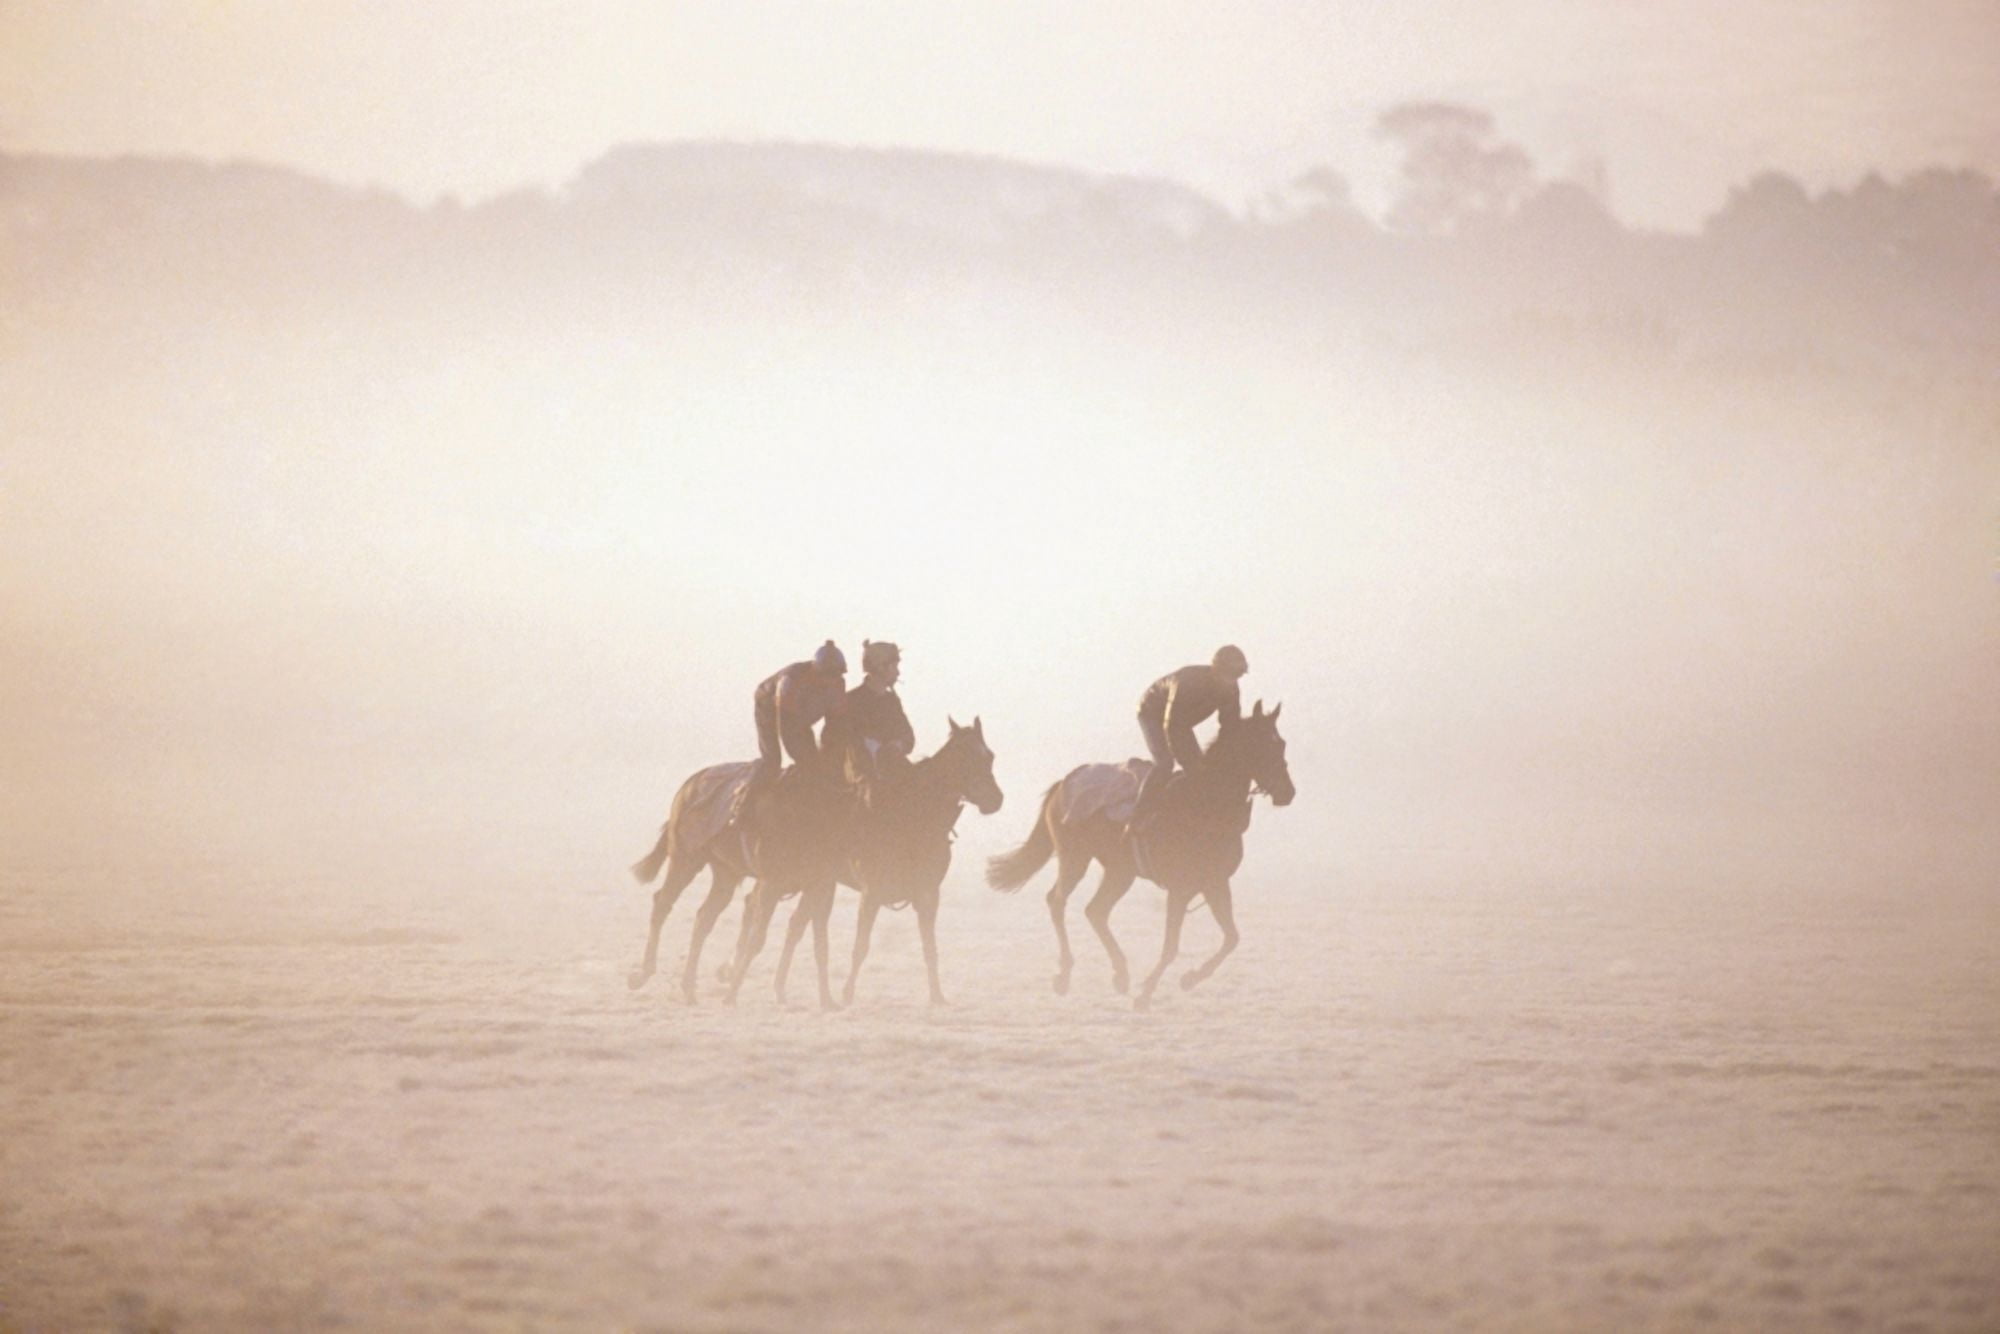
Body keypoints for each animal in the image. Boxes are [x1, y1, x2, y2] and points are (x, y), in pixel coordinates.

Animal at [986, 700, 1295, 1010]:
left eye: (1281, 744)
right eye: (1261, 745)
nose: (1288, 792)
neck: (1204, 805)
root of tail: (1063, 783)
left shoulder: (1215, 882)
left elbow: (1232, 937)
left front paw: (1190, 978)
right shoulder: (1180, 889)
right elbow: (1171, 947)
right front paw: (1146, 993)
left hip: (1121, 871)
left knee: (1095, 910)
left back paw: (1120, 974)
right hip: (1075, 857)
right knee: (1058, 901)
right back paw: (1064, 974)